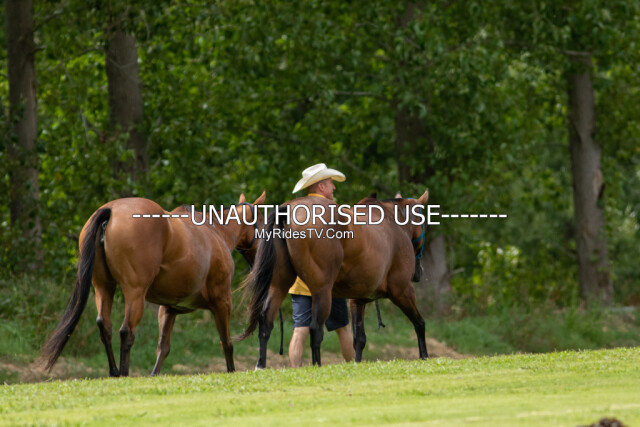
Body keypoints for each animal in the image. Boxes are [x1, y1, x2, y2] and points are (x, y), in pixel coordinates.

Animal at [41, 192, 266, 377]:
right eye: (263, 221)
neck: (216, 232)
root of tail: (111, 210)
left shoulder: (168, 309)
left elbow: (163, 348)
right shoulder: (222, 301)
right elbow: (226, 343)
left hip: (103, 288)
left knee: (105, 326)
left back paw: (114, 372)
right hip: (135, 293)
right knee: (126, 332)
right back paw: (123, 374)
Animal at [238, 189, 429, 368]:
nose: (419, 272)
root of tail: (288, 210)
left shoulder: (357, 300)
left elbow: (359, 339)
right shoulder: (402, 290)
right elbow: (419, 323)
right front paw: (424, 356)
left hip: (279, 287)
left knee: (266, 323)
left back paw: (261, 365)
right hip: (322, 291)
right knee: (315, 329)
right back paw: (316, 366)